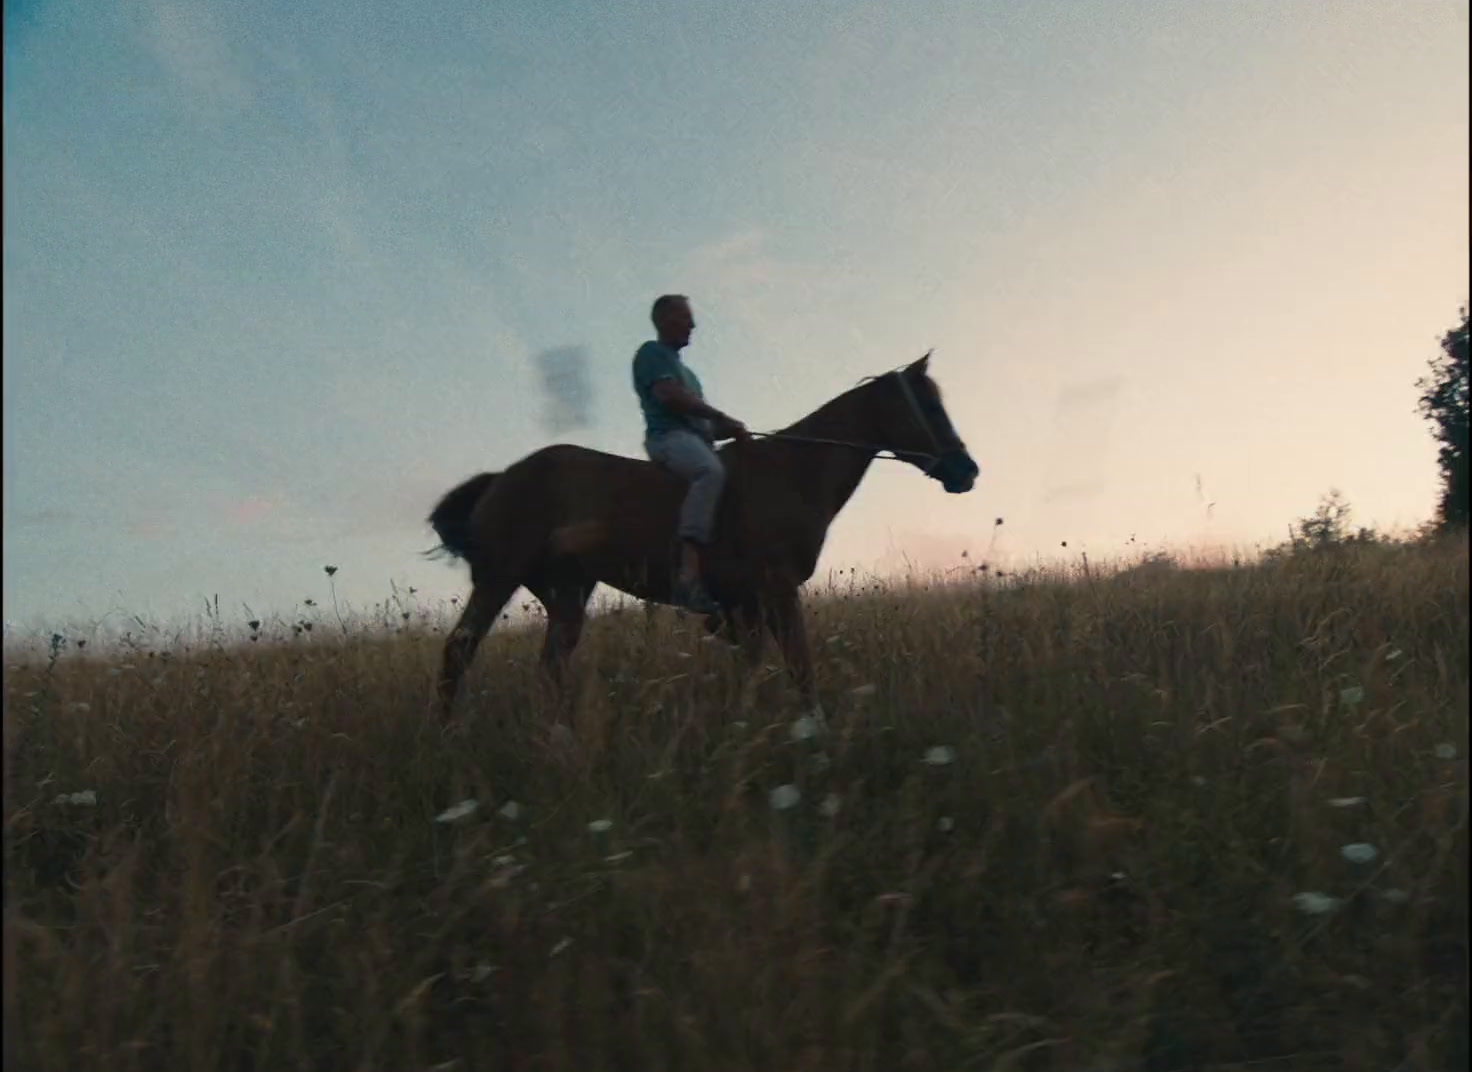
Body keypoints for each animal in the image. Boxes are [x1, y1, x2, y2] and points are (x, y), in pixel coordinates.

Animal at [426, 356, 977, 715]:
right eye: (930, 405)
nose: (966, 470)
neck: (792, 470)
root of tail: (500, 478)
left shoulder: (744, 606)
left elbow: (752, 667)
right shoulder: (777, 590)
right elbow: (799, 665)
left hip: (566, 592)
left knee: (550, 666)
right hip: (500, 577)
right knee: (459, 651)